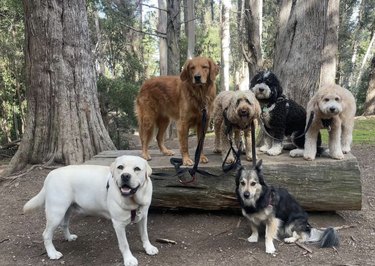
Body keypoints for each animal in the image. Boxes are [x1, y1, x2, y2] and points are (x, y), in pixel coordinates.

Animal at [23, 155, 159, 264]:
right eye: (120, 167)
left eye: (137, 169)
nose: (125, 176)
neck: (133, 200)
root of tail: (50, 174)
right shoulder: (118, 224)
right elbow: (124, 244)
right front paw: (129, 259)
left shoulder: (143, 217)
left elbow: (145, 235)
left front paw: (148, 248)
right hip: (56, 212)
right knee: (46, 234)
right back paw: (52, 253)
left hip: (67, 209)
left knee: (64, 224)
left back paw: (69, 237)